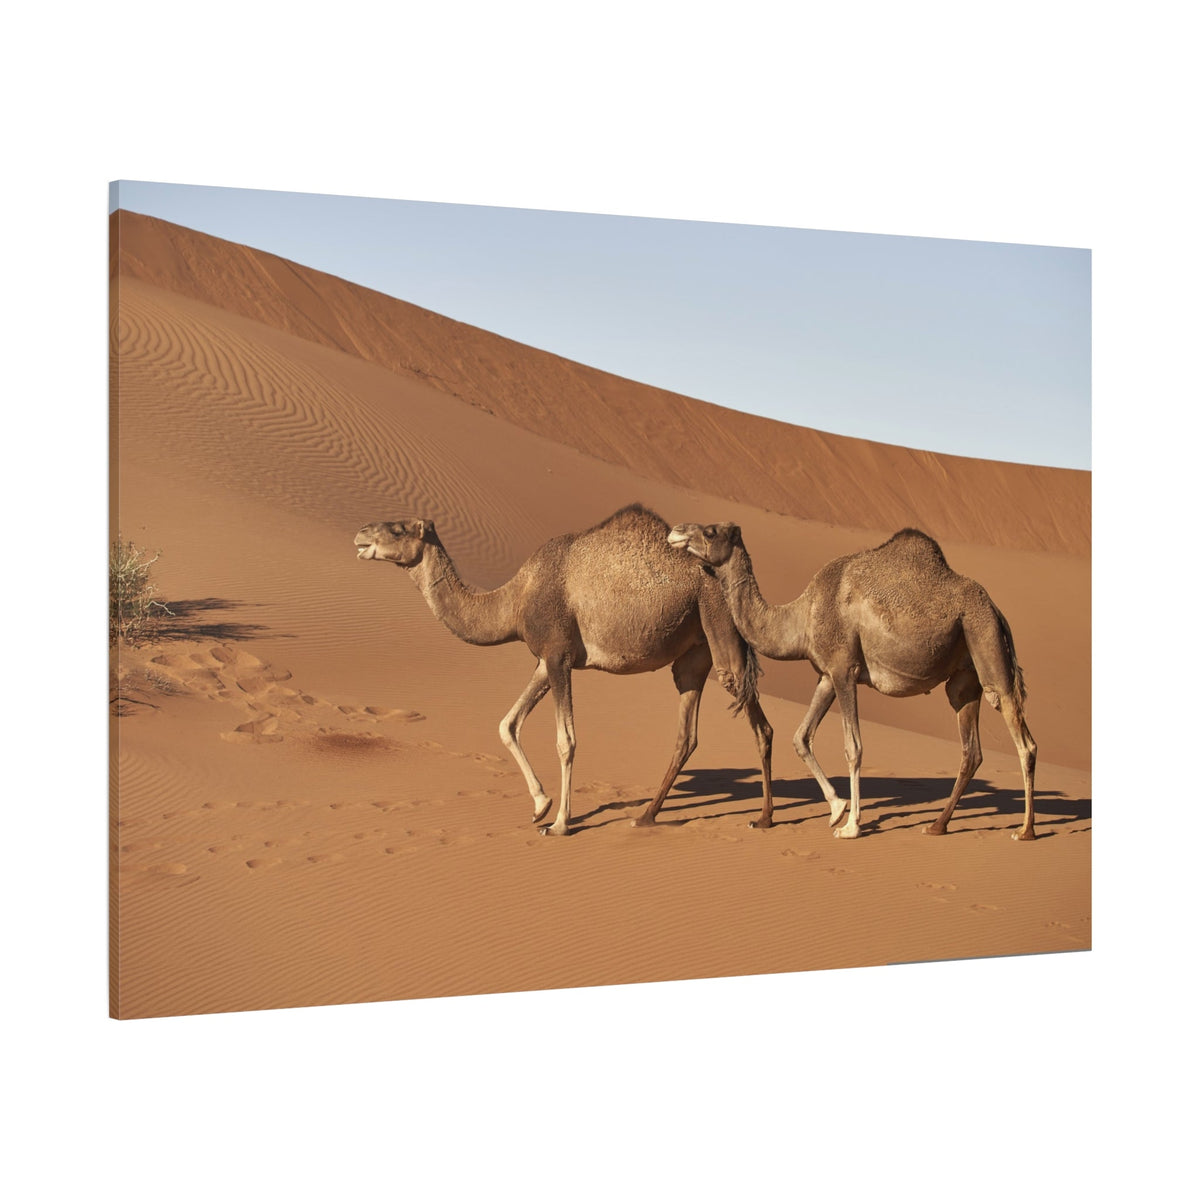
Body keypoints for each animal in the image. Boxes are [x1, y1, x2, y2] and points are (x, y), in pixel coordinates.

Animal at [354, 504, 774, 835]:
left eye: (398, 528)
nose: (361, 533)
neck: (514, 600)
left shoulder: (558, 655)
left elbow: (565, 740)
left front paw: (559, 824)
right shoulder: (546, 659)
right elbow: (507, 724)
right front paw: (540, 806)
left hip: (719, 626)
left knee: (758, 721)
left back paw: (765, 818)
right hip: (695, 652)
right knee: (687, 734)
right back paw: (647, 816)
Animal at [667, 522, 1036, 841]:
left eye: (710, 531)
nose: (675, 532)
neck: (802, 616)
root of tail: (996, 610)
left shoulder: (845, 669)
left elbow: (853, 747)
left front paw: (851, 827)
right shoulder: (826, 674)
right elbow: (801, 737)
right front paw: (836, 809)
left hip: (984, 638)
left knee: (1022, 738)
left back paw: (1025, 830)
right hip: (965, 674)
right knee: (971, 748)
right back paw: (937, 825)